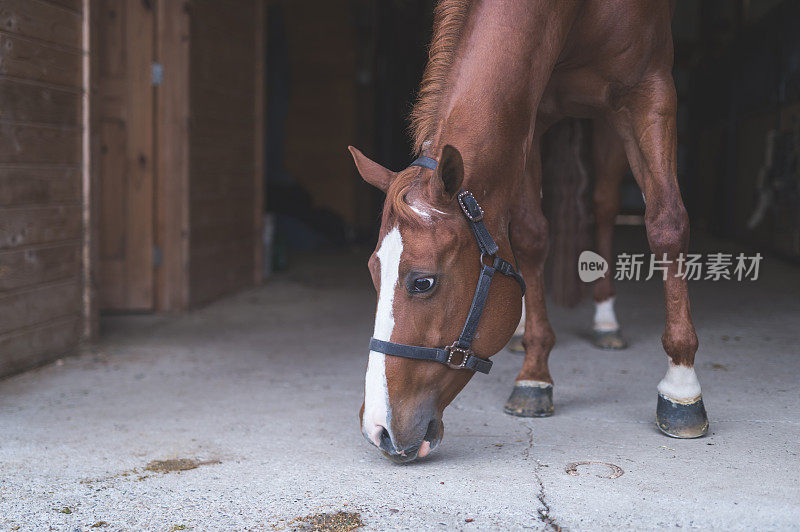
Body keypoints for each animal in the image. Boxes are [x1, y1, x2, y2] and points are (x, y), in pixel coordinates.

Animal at [348, 0, 708, 462]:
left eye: (422, 282)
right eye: (373, 274)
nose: (378, 430)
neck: (572, 12)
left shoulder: (650, 90)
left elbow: (667, 223)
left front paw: (682, 387)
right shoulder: (526, 117)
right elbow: (531, 236)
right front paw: (534, 374)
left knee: (605, 205)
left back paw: (606, 321)